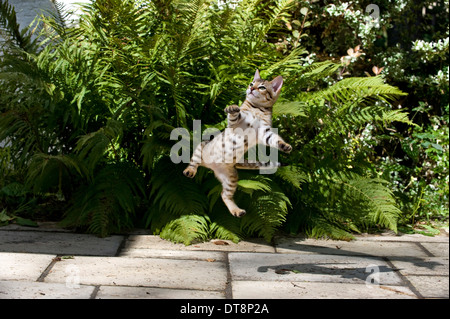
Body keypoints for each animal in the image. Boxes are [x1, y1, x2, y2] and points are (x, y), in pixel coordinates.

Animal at [183, 70, 292, 218]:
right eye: (251, 83)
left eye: (262, 87)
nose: (251, 89)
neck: (257, 109)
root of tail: (210, 165)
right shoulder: (235, 124)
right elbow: (236, 114)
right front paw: (233, 107)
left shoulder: (264, 133)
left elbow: (275, 139)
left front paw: (285, 146)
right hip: (202, 147)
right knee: (194, 161)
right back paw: (189, 171)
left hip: (231, 178)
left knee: (224, 195)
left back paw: (237, 210)